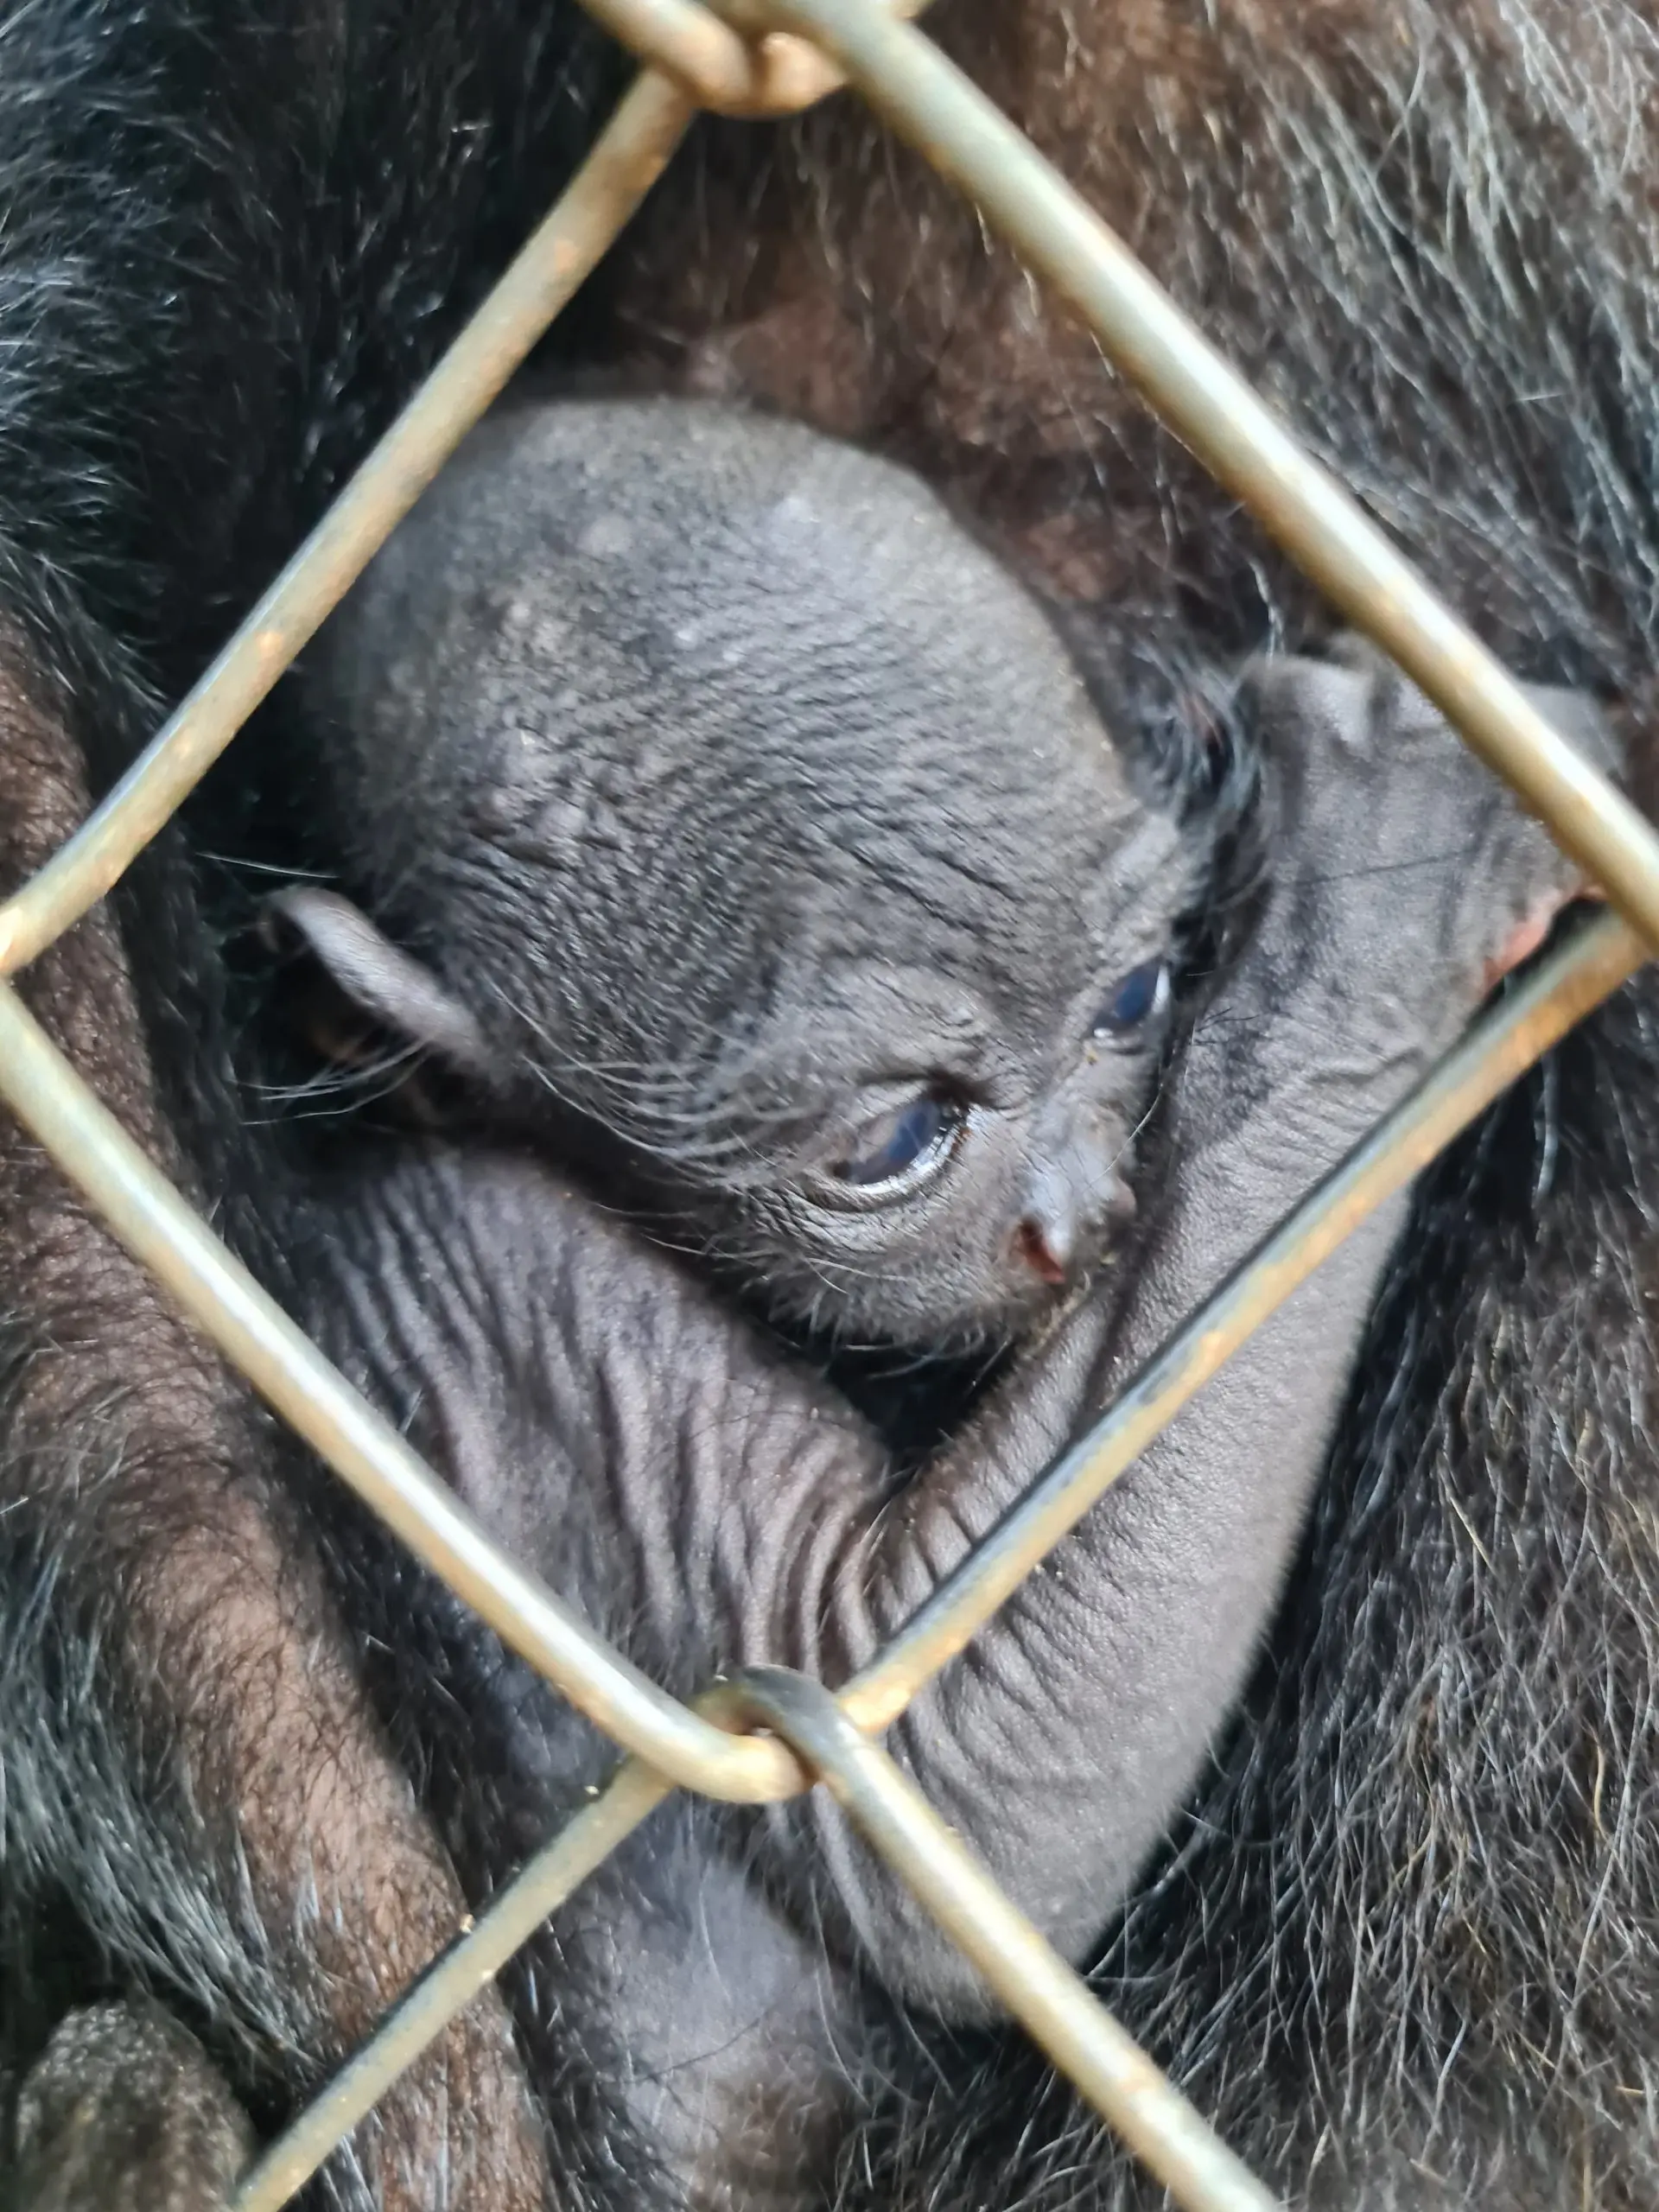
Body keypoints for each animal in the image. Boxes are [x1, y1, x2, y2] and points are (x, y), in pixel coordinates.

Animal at [6, 2, 1659, 2209]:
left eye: (1137, 999)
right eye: (894, 1145)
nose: (1081, 1204)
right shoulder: (511, 1283)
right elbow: (936, 1763)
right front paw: (1367, 916)